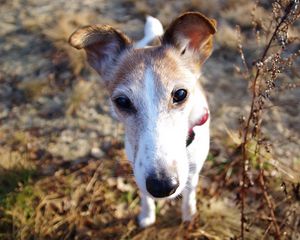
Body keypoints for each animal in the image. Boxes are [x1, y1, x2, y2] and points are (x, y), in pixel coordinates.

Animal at [69, 12, 217, 227]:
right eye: (122, 101)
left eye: (180, 94)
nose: (162, 186)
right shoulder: (137, 166)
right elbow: (145, 195)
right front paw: (147, 215)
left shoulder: (194, 169)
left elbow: (190, 193)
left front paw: (188, 214)